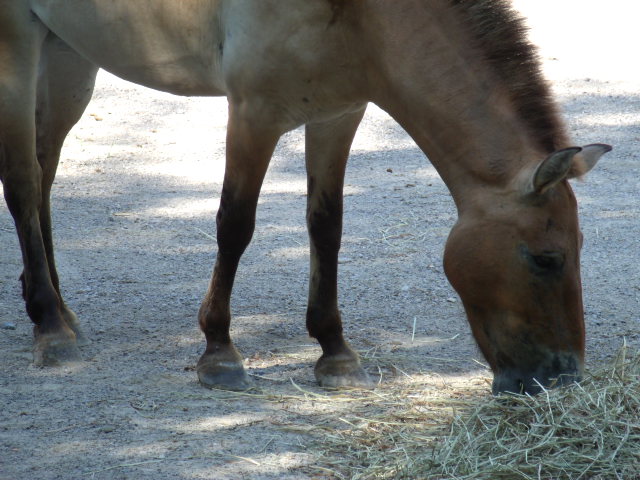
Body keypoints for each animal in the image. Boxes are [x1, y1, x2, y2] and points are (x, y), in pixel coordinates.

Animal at [0, 0, 610, 395]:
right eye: (547, 259)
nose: (563, 376)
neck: (359, 12)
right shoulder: (253, 114)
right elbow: (235, 226)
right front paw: (218, 351)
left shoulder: (338, 115)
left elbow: (326, 225)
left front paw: (334, 351)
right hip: (19, 47)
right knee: (24, 181)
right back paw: (51, 327)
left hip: (68, 53)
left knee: (46, 169)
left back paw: (60, 307)